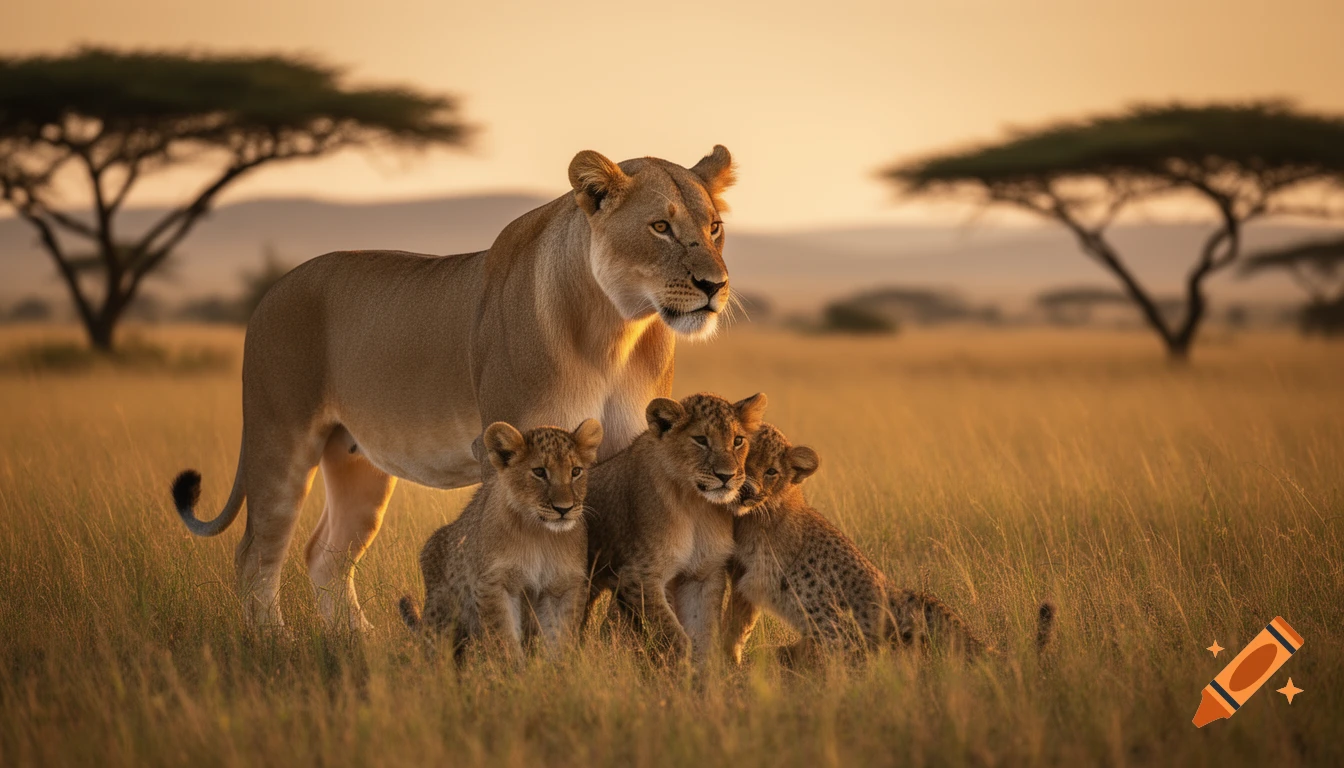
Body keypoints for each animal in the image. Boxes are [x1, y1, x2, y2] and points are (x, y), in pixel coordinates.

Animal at [170, 146, 737, 629]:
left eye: (714, 228)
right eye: (660, 227)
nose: (715, 287)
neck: (615, 331)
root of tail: (272, 290)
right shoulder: (509, 452)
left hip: (357, 462)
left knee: (326, 555)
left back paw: (361, 644)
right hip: (278, 437)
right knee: (257, 554)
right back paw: (275, 643)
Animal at [398, 419, 602, 663]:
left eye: (576, 471)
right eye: (539, 472)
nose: (564, 509)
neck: (540, 534)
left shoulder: (563, 586)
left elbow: (559, 638)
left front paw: (555, 669)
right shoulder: (495, 583)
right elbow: (503, 636)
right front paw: (514, 670)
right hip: (441, 619)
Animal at [582, 392, 767, 666]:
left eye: (738, 441)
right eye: (701, 440)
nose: (726, 476)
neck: (695, 504)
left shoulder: (702, 574)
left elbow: (703, 637)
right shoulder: (639, 575)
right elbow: (673, 636)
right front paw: (681, 669)